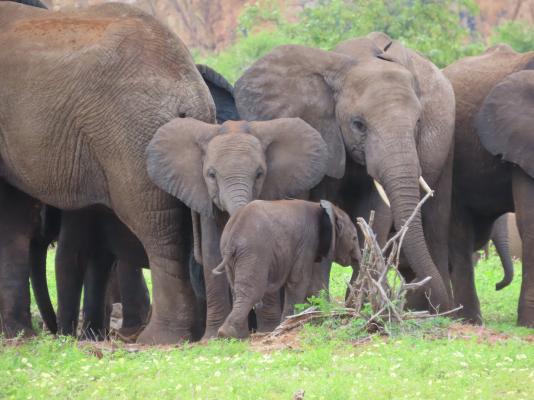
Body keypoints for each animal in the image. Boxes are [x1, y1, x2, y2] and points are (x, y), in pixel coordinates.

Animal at [0, 1, 218, 342]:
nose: (55, 332)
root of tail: (191, 92)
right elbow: (14, 218)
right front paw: (19, 335)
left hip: (131, 140)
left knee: (159, 230)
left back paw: (159, 339)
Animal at [216, 199, 362, 338]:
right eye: (354, 238)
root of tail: (233, 236)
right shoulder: (307, 243)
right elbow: (299, 282)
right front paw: (290, 323)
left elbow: (314, 285)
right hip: (254, 251)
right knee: (252, 291)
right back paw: (227, 334)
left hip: (231, 254)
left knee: (237, 290)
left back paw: (235, 336)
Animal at [237, 31, 458, 312]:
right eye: (358, 124)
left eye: (419, 122)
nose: (440, 305)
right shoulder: (324, 132)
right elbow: (325, 206)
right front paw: (320, 303)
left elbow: (377, 212)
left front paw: (358, 303)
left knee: (436, 224)